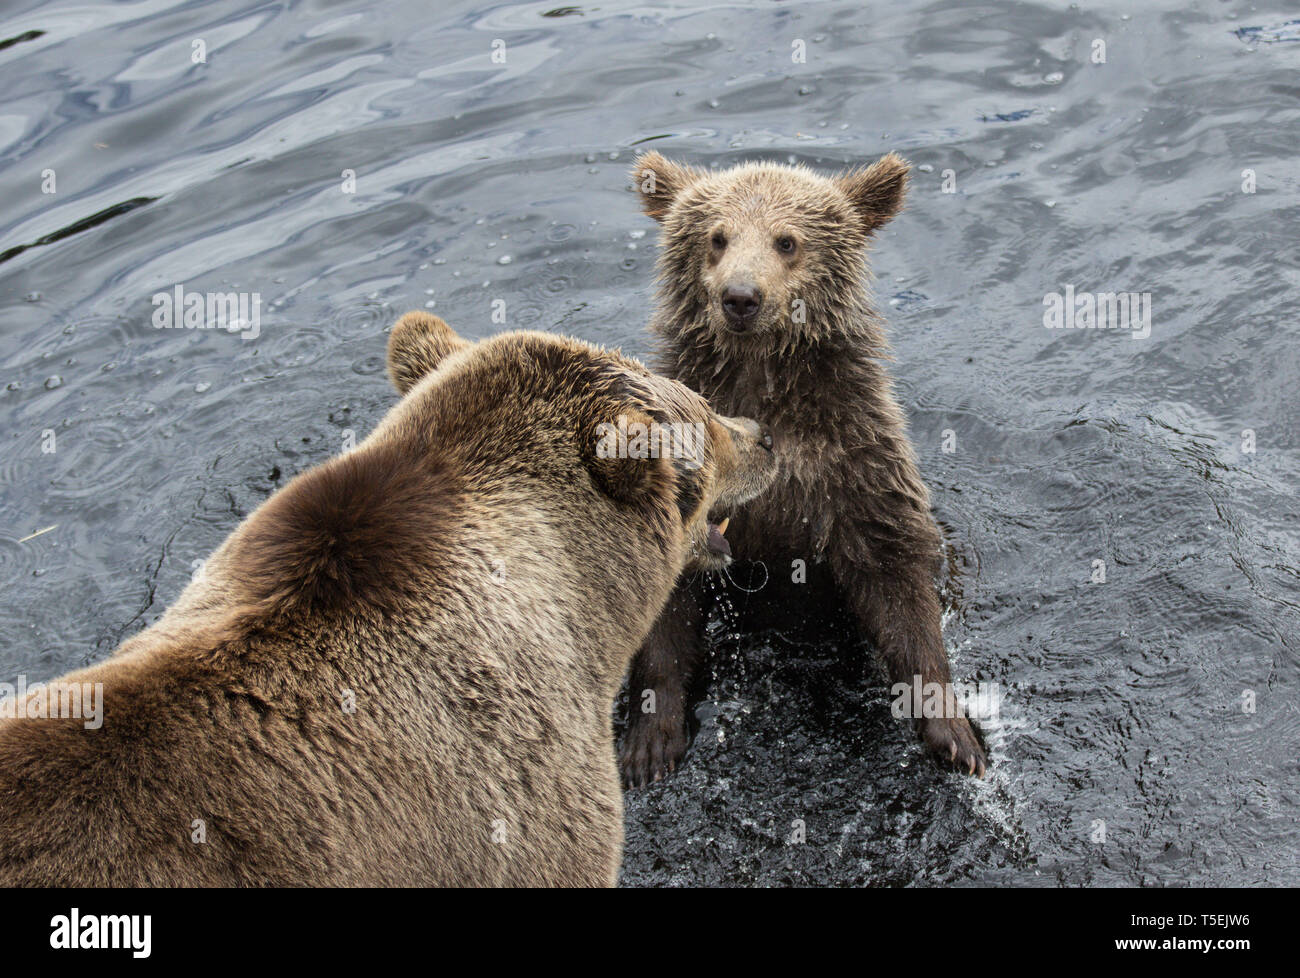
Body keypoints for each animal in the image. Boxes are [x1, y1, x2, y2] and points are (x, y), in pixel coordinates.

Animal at [619, 152, 987, 786]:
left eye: (786, 240)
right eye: (717, 237)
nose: (741, 297)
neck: (762, 380)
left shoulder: (857, 459)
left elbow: (898, 579)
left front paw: (955, 735)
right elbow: (664, 611)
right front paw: (651, 742)